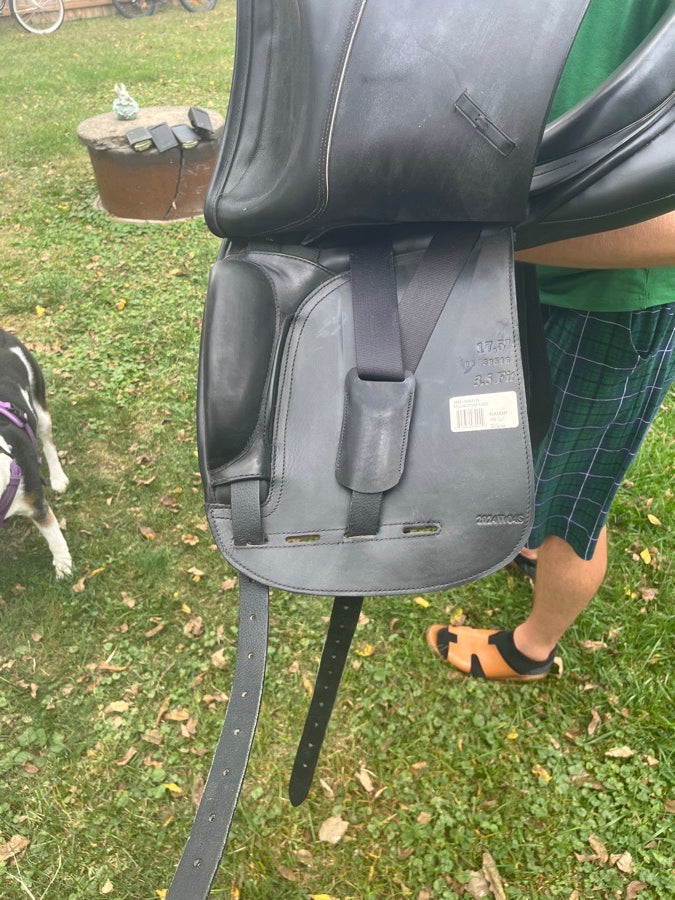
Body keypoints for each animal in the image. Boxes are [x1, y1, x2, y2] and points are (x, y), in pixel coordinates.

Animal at [0, 328, 72, 576]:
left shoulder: (37, 506)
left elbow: (54, 536)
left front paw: (63, 566)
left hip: (40, 409)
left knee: (48, 444)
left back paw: (58, 477)